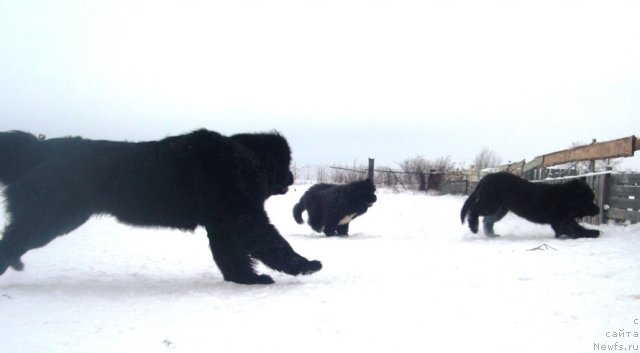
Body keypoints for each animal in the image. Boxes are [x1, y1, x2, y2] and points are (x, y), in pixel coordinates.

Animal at [0, 129, 320, 284]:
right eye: (286, 164)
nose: (292, 177)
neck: (246, 158)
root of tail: (38, 148)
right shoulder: (243, 216)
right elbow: (272, 243)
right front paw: (304, 265)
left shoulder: (222, 224)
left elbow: (230, 257)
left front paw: (244, 280)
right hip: (51, 217)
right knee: (12, 240)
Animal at [460, 172, 600, 238]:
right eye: (589, 200)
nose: (598, 209)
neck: (565, 197)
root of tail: (485, 179)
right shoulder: (562, 221)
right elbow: (577, 229)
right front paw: (594, 233)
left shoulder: (565, 220)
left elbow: (576, 228)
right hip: (490, 203)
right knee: (474, 210)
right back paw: (474, 227)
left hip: (500, 209)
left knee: (487, 220)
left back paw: (491, 235)